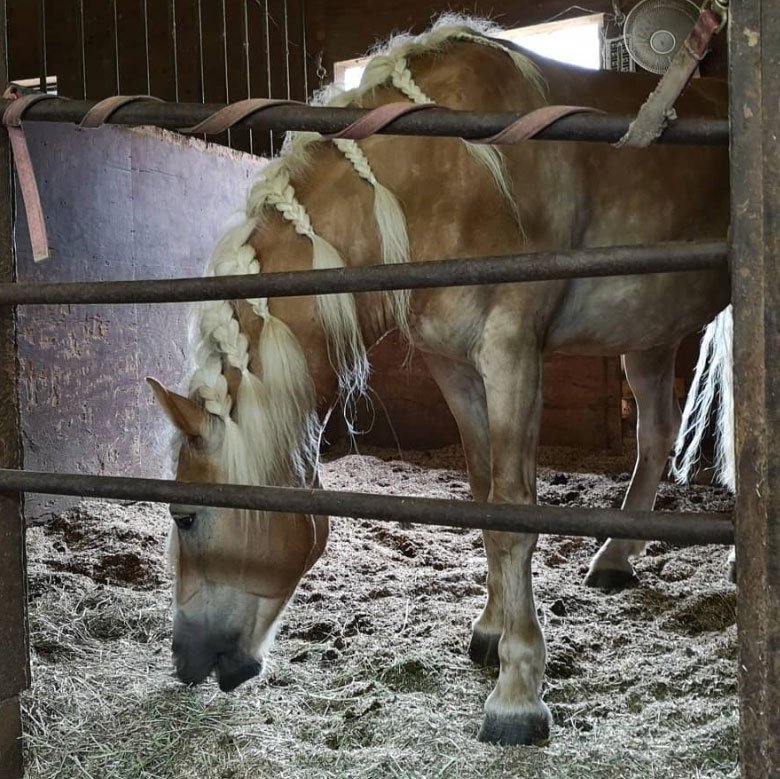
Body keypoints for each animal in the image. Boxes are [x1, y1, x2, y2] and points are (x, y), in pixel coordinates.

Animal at [147, 16, 730, 746]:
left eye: (186, 515)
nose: (183, 659)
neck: (442, 170)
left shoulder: (511, 352)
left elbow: (512, 513)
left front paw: (517, 695)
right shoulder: (454, 366)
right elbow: (481, 495)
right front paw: (491, 633)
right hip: (647, 337)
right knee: (655, 436)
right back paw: (614, 559)